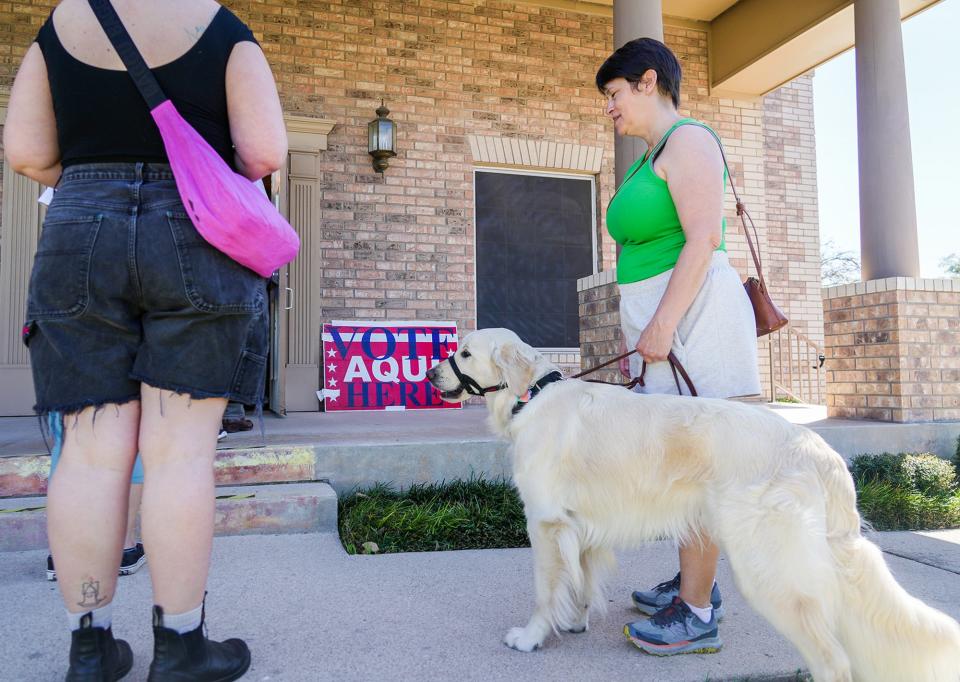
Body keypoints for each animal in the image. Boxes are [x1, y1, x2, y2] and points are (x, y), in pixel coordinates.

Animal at [426, 328, 960, 680]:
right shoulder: (579, 526)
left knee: (833, 660)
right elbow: (579, 580)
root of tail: (817, 448)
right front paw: (574, 621)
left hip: (770, 570)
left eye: (465, 353)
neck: (533, 394)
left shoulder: (545, 523)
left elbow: (544, 590)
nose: (430, 374)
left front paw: (532, 636)